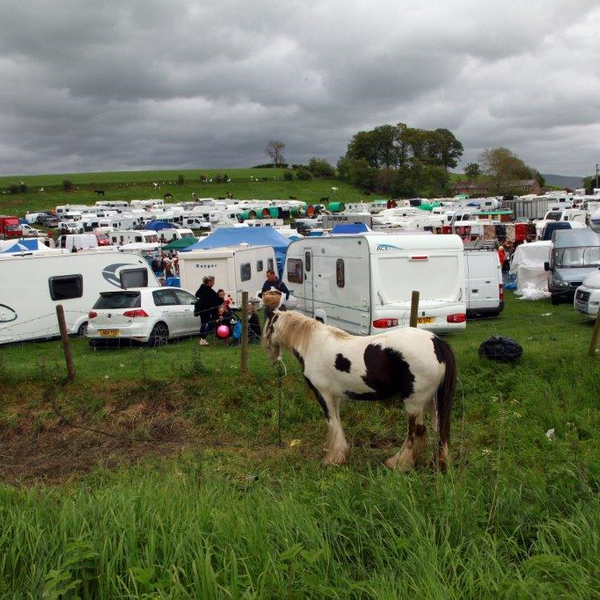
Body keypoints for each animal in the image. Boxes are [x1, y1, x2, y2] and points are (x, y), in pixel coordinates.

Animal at [262, 292, 454, 472]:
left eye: (269, 326)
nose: (268, 351)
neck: (313, 344)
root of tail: (436, 342)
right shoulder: (335, 396)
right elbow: (337, 422)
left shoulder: (323, 394)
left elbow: (332, 422)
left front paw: (333, 459)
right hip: (431, 401)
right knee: (438, 430)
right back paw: (436, 464)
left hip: (414, 402)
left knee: (417, 431)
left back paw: (398, 464)